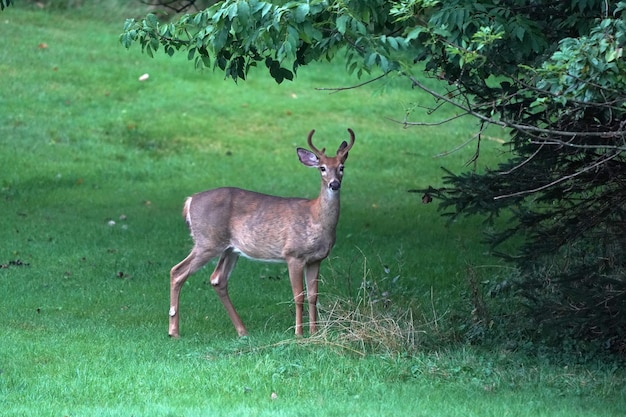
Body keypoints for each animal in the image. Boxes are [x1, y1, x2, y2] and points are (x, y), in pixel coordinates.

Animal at [166, 128, 354, 336]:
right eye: (322, 168)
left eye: (342, 167)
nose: (334, 184)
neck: (316, 218)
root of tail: (189, 201)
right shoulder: (293, 254)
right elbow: (298, 296)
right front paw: (298, 333)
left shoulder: (316, 259)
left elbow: (313, 295)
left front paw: (315, 332)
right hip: (207, 241)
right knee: (177, 271)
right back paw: (173, 331)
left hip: (230, 248)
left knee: (217, 279)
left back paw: (242, 330)